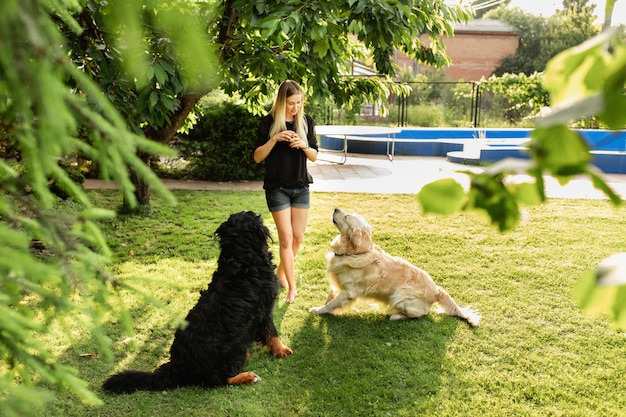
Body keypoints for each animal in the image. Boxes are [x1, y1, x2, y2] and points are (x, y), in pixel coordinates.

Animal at [102, 211, 292, 394]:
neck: (241, 259)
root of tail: (176, 366)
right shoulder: (264, 309)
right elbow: (272, 333)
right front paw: (281, 350)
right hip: (238, 348)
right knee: (218, 380)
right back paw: (248, 377)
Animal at [310, 207, 480, 324]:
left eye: (346, 217)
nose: (335, 209)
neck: (355, 253)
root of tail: (437, 290)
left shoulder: (348, 292)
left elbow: (331, 303)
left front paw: (319, 310)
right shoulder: (338, 284)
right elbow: (329, 297)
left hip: (399, 295)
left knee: (416, 315)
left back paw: (395, 315)